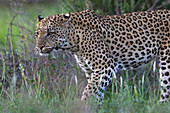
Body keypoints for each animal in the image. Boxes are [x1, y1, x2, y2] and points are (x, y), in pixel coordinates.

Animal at [35, 8, 169, 104]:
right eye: (37, 33)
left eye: (50, 33)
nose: (39, 47)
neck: (73, 41)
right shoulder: (90, 71)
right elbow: (96, 91)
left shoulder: (105, 66)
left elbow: (89, 91)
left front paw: (83, 105)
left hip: (167, 61)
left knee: (166, 89)